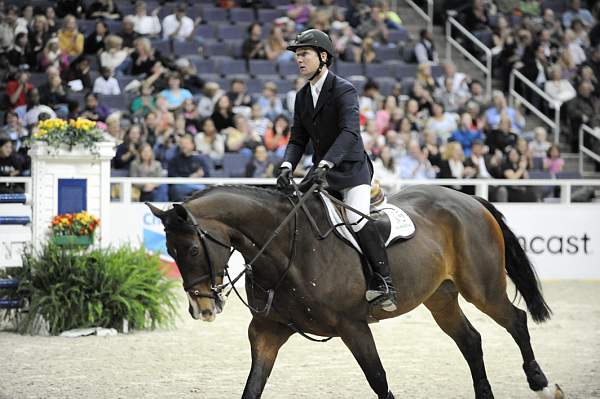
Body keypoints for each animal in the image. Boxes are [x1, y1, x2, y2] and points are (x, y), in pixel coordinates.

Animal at [145, 185, 564, 399]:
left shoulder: (354, 327)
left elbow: (378, 380)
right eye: (170, 251)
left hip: (482, 288)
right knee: (471, 340)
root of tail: (468, 199)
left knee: (516, 321)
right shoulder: (267, 331)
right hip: (440, 297)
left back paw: (541, 382)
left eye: (193, 250)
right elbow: (252, 388)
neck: (286, 249)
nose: (201, 309)